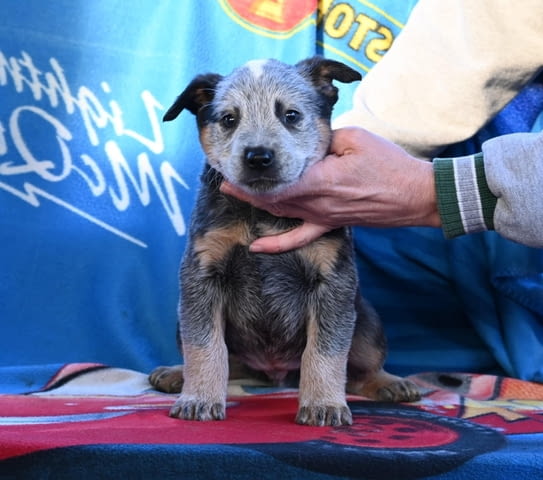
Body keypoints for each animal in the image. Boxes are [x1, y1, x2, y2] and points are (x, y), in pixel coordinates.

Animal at [151, 57, 422, 428]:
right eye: (229, 119)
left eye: (290, 115)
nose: (258, 156)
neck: (264, 216)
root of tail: (275, 371)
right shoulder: (201, 275)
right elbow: (205, 345)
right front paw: (199, 397)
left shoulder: (332, 281)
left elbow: (325, 350)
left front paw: (323, 404)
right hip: (186, 321)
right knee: (228, 361)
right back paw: (176, 374)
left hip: (367, 320)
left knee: (359, 371)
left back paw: (390, 383)